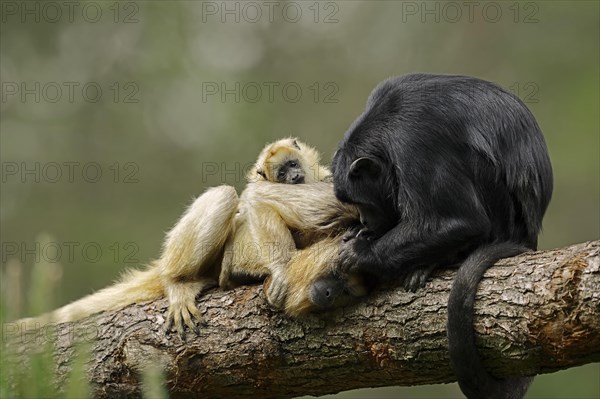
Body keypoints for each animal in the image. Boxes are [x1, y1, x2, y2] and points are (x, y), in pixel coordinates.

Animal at [328, 72, 552, 399]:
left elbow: (461, 221)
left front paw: (360, 254)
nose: (365, 219)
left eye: (362, 203)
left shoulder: (414, 142)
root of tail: (529, 234)